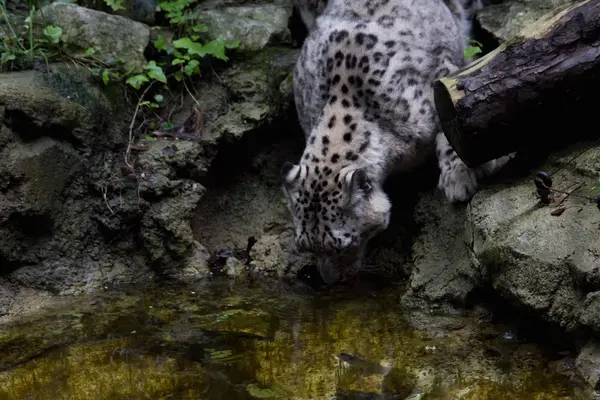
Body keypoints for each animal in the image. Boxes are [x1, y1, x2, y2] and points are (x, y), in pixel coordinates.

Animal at [280, 0, 510, 284]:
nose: (330, 280)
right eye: (305, 246)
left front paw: (458, 178)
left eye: (341, 246)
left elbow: (450, 123)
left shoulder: (441, 78)